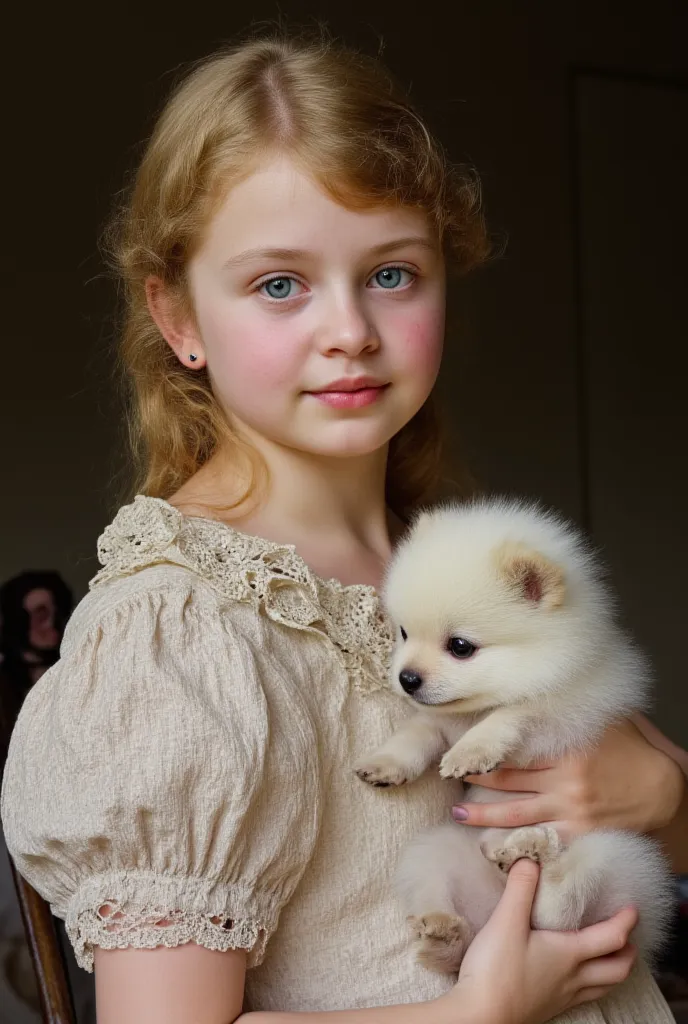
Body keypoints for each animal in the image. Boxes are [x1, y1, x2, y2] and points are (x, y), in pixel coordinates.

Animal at [354, 501, 671, 974]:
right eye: (404, 633)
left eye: (460, 646)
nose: (407, 679)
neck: (473, 708)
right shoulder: (437, 723)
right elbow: (415, 734)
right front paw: (386, 764)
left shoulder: (569, 706)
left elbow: (514, 712)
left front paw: (472, 750)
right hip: (437, 850)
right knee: (458, 926)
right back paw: (444, 931)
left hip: (615, 852)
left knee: (558, 912)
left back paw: (536, 849)